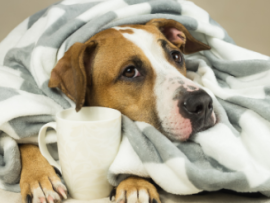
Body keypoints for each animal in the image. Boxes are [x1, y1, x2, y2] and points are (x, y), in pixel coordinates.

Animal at [19, 18, 216, 203]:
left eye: (176, 56)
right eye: (130, 71)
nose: (202, 103)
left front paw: (135, 183)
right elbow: (25, 143)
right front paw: (39, 178)